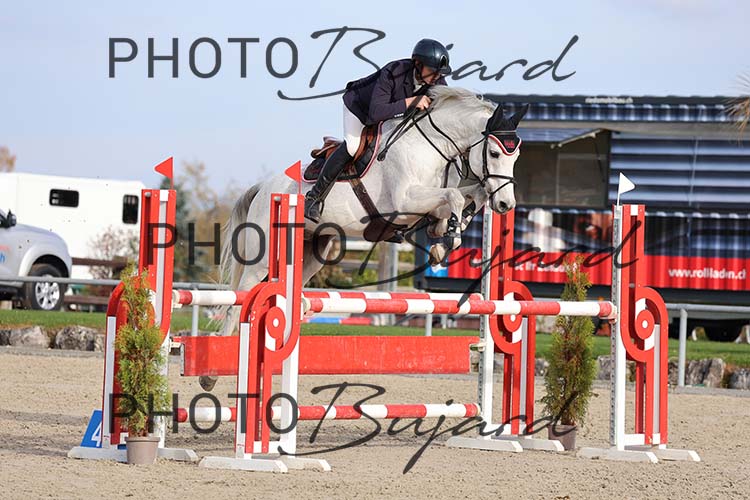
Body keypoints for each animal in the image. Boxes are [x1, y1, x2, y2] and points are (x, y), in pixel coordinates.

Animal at [202, 86, 528, 390]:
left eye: (516, 156)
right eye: (495, 153)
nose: (506, 205)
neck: (431, 148)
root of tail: (264, 187)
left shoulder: (433, 199)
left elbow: (471, 195)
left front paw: (442, 237)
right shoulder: (404, 202)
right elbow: (455, 197)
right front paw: (449, 237)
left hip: (312, 254)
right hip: (262, 258)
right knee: (238, 301)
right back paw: (211, 374)